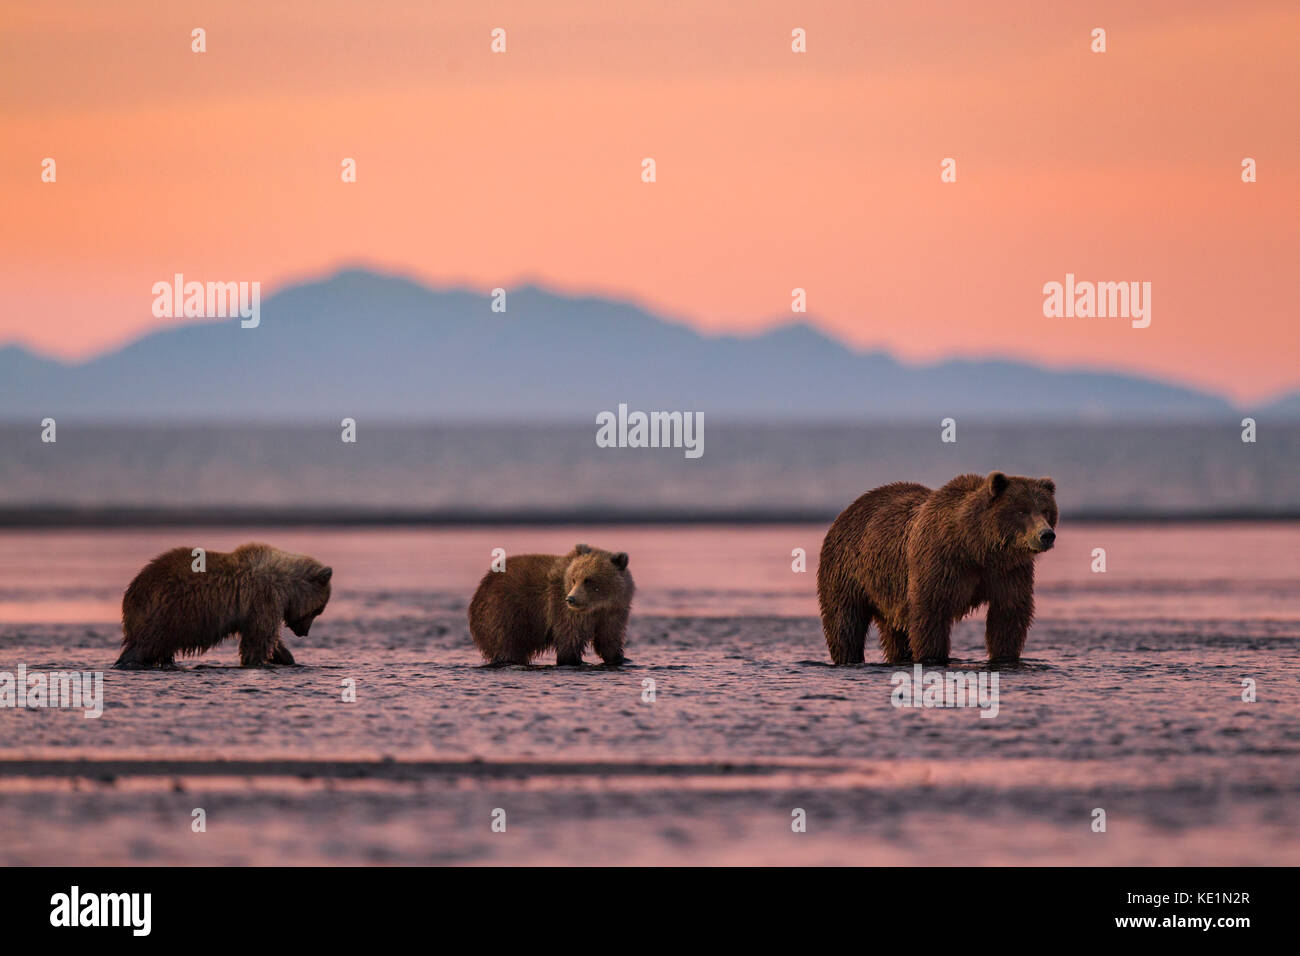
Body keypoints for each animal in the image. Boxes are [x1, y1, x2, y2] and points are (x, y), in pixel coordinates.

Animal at [114, 543, 333, 669]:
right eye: (318, 611)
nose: (304, 632)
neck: (286, 585)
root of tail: (130, 593)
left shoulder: (257, 608)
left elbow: (269, 636)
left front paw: (287, 658)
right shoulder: (264, 596)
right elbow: (259, 636)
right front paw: (256, 660)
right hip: (164, 613)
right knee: (145, 644)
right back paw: (128, 662)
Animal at [468, 544, 633, 666]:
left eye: (588, 580)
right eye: (574, 579)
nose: (571, 599)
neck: (597, 606)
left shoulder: (614, 612)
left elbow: (608, 638)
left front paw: (620, 658)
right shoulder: (564, 610)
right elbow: (570, 638)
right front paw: (573, 660)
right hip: (503, 613)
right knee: (505, 644)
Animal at [817, 472, 1057, 665]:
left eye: (1046, 510)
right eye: (1022, 511)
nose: (1046, 535)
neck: (975, 547)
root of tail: (848, 509)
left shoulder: (1007, 572)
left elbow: (1008, 614)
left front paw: (1005, 657)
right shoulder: (939, 563)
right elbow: (930, 612)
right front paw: (933, 657)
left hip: (888, 592)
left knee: (895, 632)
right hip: (847, 570)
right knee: (844, 622)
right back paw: (848, 657)